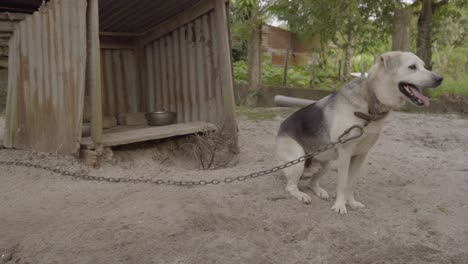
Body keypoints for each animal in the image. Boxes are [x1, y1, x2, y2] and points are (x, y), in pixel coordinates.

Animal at [276, 52, 444, 214]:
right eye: (412, 67)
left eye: (424, 66)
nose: (440, 79)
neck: (370, 102)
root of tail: (280, 128)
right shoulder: (345, 152)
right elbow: (342, 183)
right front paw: (340, 206)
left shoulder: (361, 154)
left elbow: (351, 183)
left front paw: (351, 203)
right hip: (298, 160)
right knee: (291, 187)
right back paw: (301, 195)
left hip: (326, 164)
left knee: (311, 183)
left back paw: (319, 191)